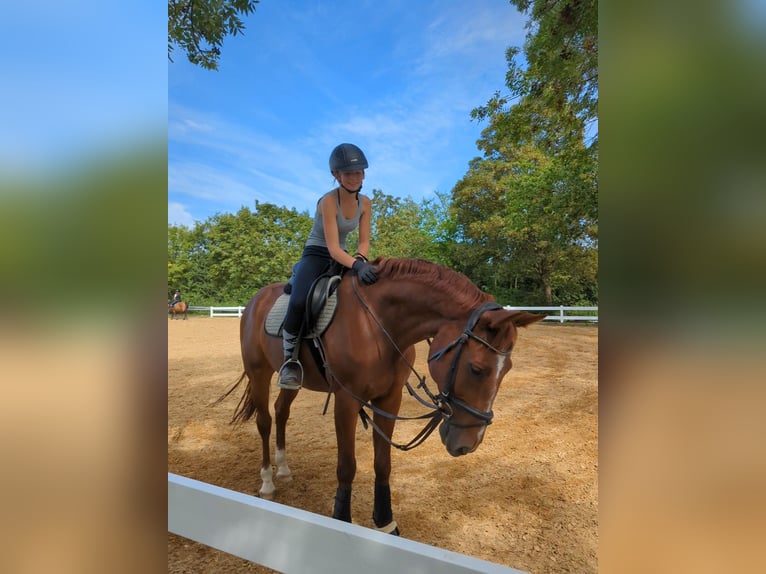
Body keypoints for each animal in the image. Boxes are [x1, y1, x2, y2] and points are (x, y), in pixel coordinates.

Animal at [222, 257, 543, 534]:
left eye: (507, 369)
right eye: (477, 369)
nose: (469, 444)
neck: (377, 324)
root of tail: (256, 299)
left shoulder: (389, 399)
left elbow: (383, 463)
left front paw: (385, 521)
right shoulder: (346, 401)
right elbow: (347, 466)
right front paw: (342, 522)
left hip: (291, 380)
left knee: (281, 411)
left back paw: (284, 468)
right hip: (259, 372)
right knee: (264, 420)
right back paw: (267, 480)